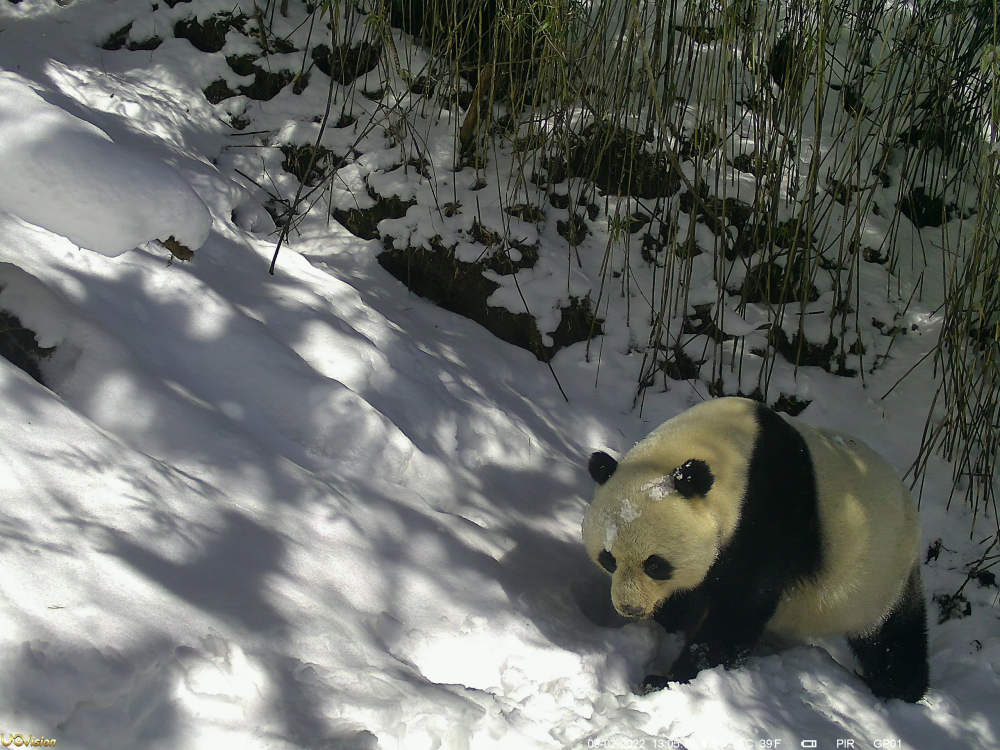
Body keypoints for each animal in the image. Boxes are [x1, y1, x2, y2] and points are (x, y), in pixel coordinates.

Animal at [584, 400, 932, 704]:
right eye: (609, 560)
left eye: (655, 565)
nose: (630, 608)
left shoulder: (765, 518)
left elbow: (740, 608)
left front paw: (669, 679)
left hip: (880, 571)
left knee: (892, 635)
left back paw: (896, 688)